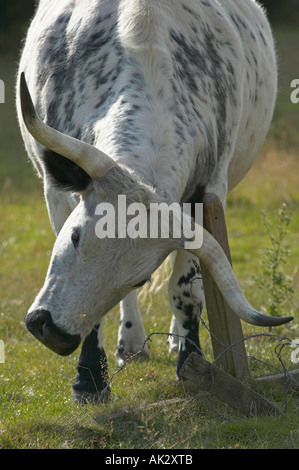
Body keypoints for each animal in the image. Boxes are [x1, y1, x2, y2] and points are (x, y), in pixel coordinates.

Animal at [17, 0, 292, 404]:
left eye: (140, 276)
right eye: (75, 236)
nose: (54, 333)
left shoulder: (206, 200)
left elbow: (187, 290)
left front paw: (192, 365)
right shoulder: (57, 197)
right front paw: (89, 380)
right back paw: (130, 343)